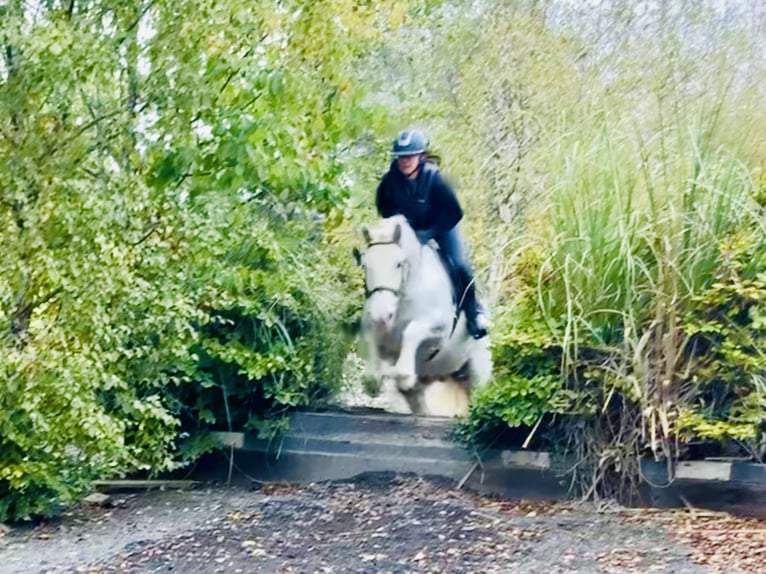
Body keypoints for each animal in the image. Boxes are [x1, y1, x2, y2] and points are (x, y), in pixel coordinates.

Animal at [354, 214, 492, 416]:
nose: (381, 314)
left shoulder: (437, 328)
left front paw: (403, 374)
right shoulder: (376, 327)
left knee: (479, 390)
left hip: (478, 365)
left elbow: (411, 332)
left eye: (398, 264)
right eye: (365, 265)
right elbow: (371, 338)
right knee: (418, 400)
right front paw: (372, 380)